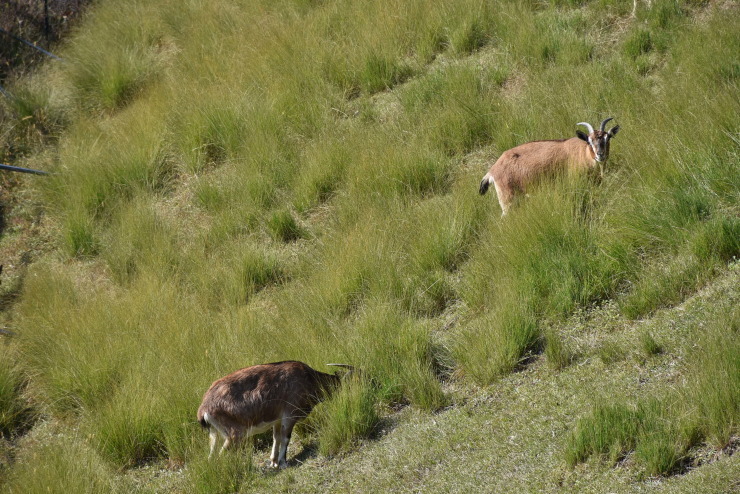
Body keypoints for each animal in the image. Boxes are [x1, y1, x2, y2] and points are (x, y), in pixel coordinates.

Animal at [197, 358, 352, 466]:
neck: (309, 378)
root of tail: (204, 408)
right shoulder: (290, 414)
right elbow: (285, 438)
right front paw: (283, 463)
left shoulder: (277, 419)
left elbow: (276, 437)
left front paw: (274, 462)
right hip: (234, 434)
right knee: (221, 455)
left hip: (214, 434)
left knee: (211, 457)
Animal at [480, 118, 620, 216]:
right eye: (589, 141)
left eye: (608, 138)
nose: (600, 155)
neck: (582, 152)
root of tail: (493, 170)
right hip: (507, 201)